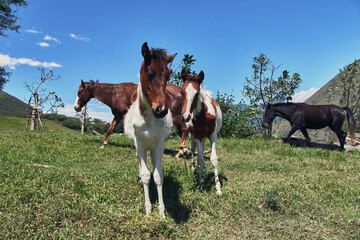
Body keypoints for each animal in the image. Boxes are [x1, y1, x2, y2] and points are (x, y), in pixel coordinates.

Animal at [124, 42, 176, 218]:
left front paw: (162, 212)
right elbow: (146, 175)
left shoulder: (159, 143)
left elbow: (158, 176)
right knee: (142, 165)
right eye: (149, 73)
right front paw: (148, 210)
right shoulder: (139, 142)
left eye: (168, 75)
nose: (161, 110)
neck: (147, 119)